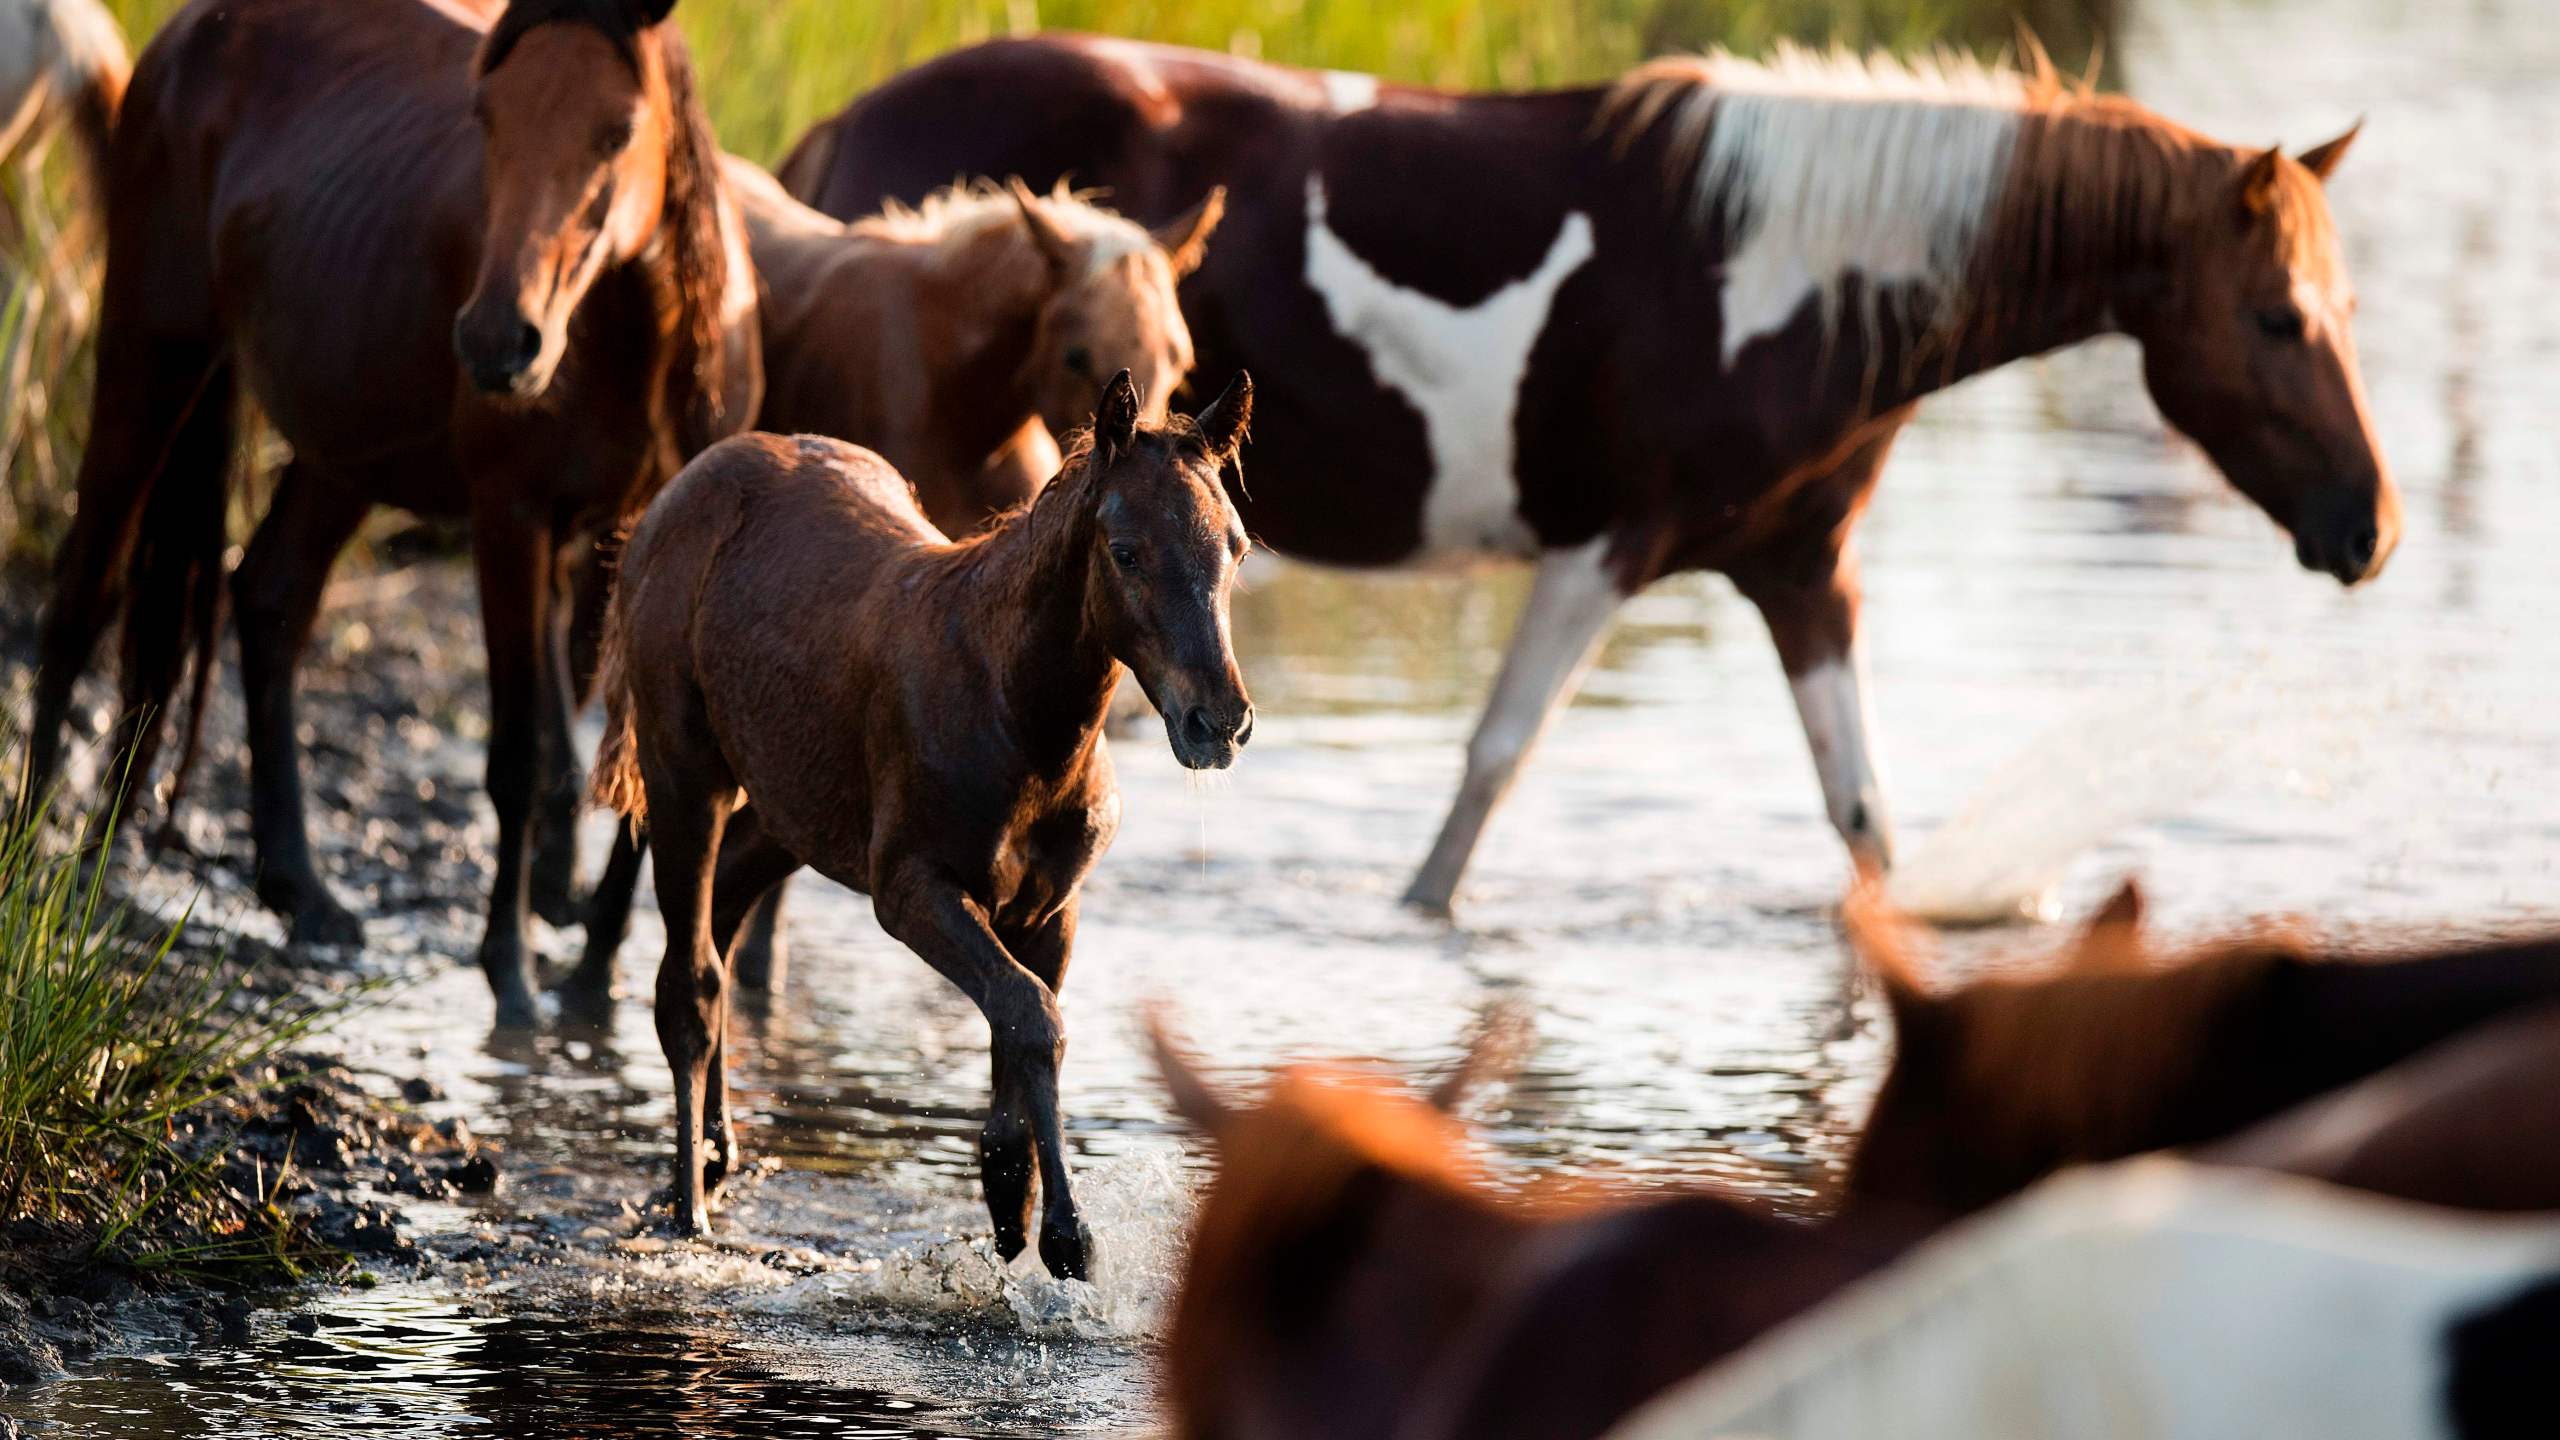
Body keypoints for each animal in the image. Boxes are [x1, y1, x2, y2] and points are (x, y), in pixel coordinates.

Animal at [20, 0, 757, 1024]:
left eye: (618, 131)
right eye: (487, 116)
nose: (496, 342)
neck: (638, 345)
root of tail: (185, 35)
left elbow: (646, 780)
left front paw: (593, 980)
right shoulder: (510, 523)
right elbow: (523, 758)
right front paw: (511, 977)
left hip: (344, 448)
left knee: (270, 596)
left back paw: (301, 889)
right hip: (152, 353)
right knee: (85, 588)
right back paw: (32, 842)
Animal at [583, 368, 1259, 1265]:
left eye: (1236, 547)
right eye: (1126, 551)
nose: (1218, 722)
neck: (1015, 716)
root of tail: (675, 496)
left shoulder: (1052, 907)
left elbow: (1018, 1048)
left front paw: (1015, 1222)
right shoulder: (910, 890)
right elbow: (1032, 1019)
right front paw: (1067, 1239)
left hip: (794, 810)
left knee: (724, 916)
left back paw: (720, 1158)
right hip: (685, 772)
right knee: (689, 983)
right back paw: (689, 1207)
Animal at [778, 39, 2396, 912]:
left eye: (2343, 306)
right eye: (2276, 317)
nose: (2369, 532)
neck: (1791, 272)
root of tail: (845, 123)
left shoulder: (1803, 572)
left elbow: (1863, 816)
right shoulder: (1610, 547)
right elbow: (1490, 773)